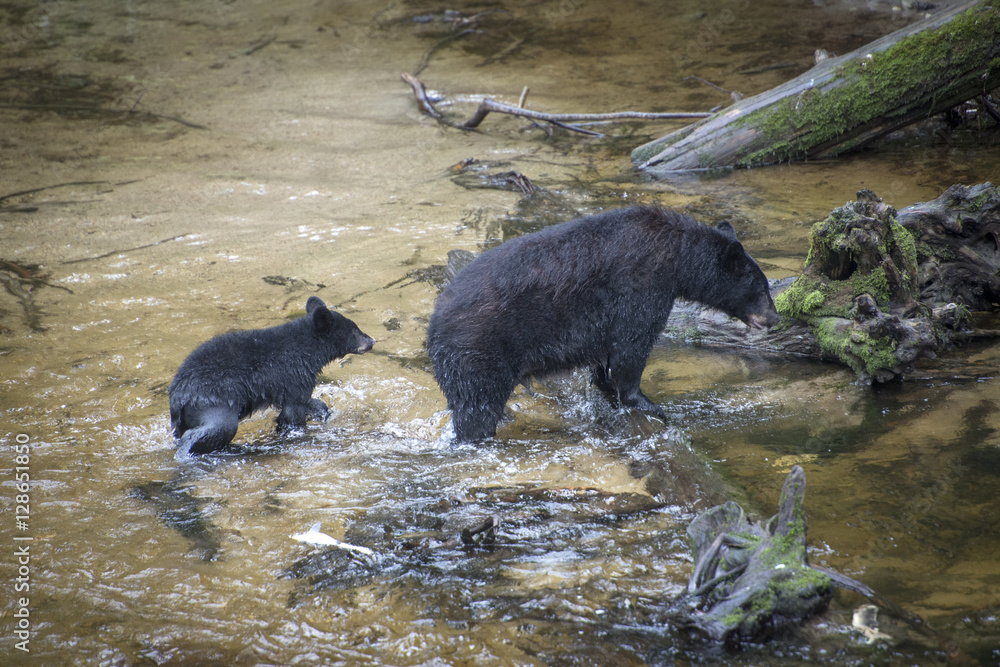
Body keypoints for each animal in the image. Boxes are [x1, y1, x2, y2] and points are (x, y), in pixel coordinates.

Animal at [169, 296, 375, 458]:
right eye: (354, 330)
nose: (372, 340)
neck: (308, 349)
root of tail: (178, 394)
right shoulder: (295, 373)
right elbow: (293, 411)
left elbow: (306, 402)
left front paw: (322, 410)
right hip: (213, 401)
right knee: (218, 428)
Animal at [425, 205, 780, 442]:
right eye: (762, 288)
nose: (775, 319)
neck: (676, 256)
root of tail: (433, 324)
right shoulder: (642, 287)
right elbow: (632, 347)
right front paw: (648, 404)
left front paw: (603, 383)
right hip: (478, 354)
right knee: (477, 406)